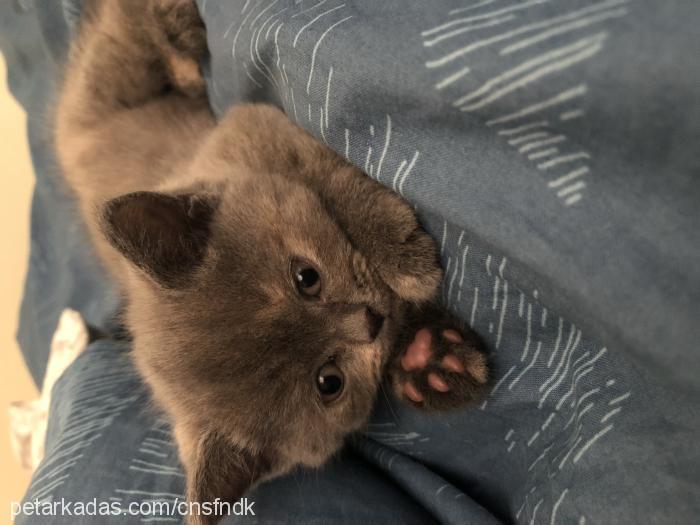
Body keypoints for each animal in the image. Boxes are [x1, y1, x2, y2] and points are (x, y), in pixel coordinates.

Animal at [54, 2, 490, 520]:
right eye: (329, 382)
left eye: (307, 277)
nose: (370, 320)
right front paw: (432, 360)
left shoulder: (254, 125)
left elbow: (327, 175)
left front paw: (406, 260)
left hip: (114, 90)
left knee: (118, 37)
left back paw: (179, 36)